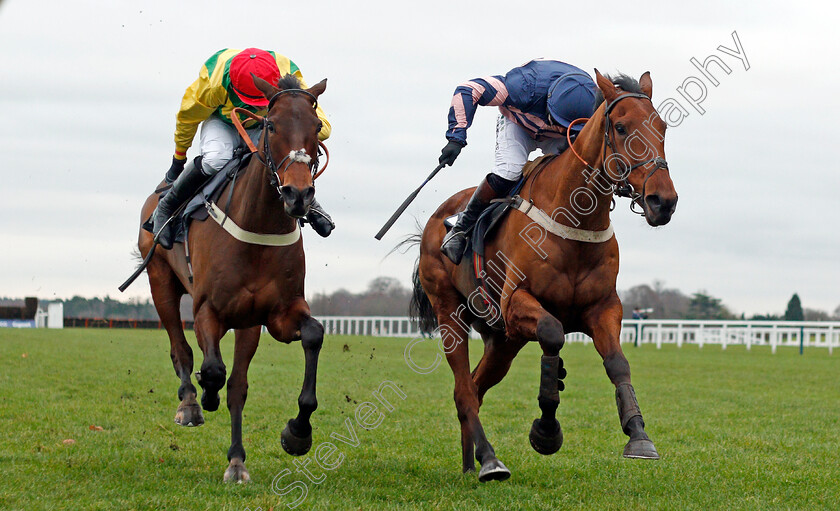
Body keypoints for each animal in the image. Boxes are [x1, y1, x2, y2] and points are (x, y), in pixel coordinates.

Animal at [135, 74, 328, 482]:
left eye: (317, 126)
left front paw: (297, 432)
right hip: (161, 282)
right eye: (272, 125)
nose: (298, 194)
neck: (258, 225)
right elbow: (211, 368)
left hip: (247, 322)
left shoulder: (275, 314)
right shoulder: (208, 309)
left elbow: (312, 335)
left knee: (237, 384)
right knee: (181, 349)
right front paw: (204, 396)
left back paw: (237, 460)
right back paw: (191, 404)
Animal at [410, 70, 680, 482]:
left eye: (662, 127)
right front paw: (547, 430)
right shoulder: (516, 303)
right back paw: (489, 461)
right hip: (450, 313)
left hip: (502, 341)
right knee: (463, 391)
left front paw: (638, 435)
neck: (575, 219)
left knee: (475, 387)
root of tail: (436, 220)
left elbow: (618, 363)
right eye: (620, 127)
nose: (662, 201)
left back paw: (471, 463)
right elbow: (553, 335)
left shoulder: (603, 307)